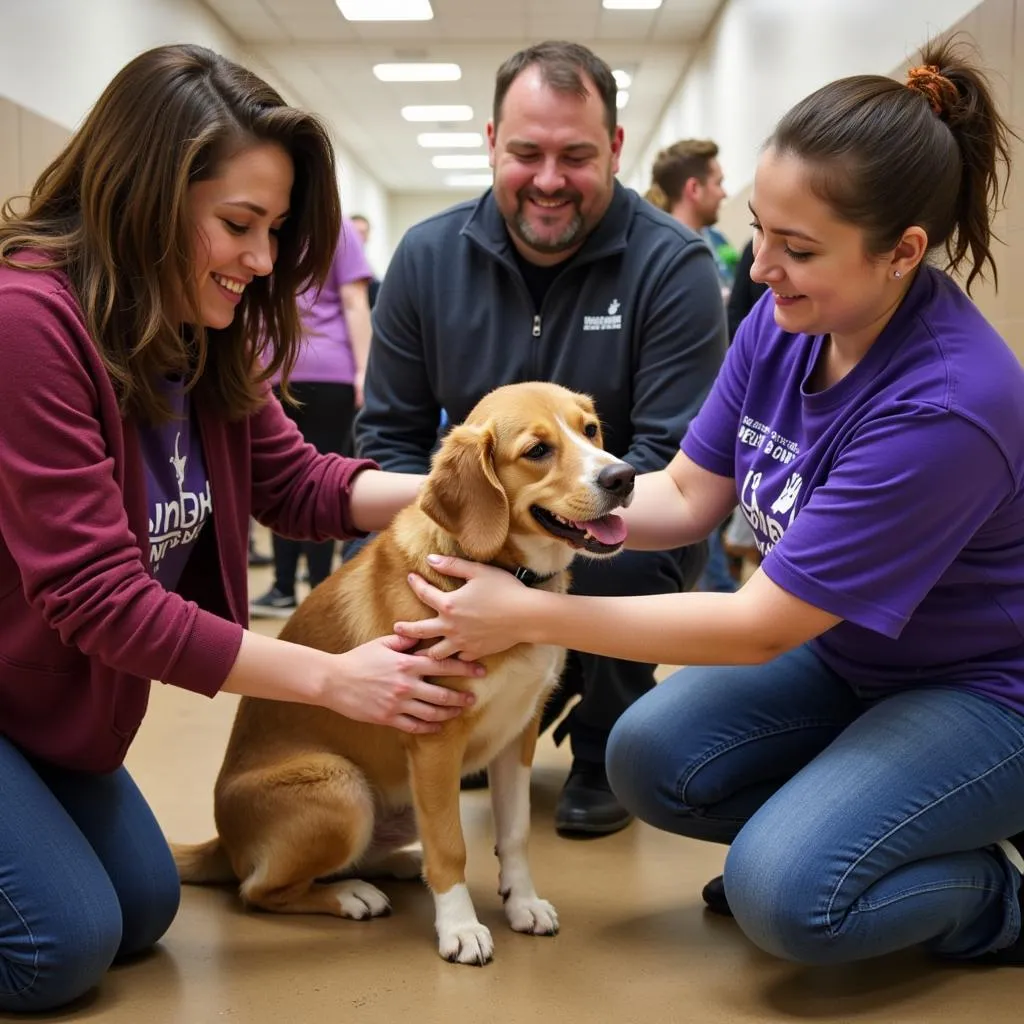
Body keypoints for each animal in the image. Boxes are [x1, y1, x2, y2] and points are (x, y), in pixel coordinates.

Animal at [176, 382, 634, 966]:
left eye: (590, 430)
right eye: (537, 450)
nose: (623, 477)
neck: (507, 578)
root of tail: (223, 841)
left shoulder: (518, 734)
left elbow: (514, 832)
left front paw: (522, 902)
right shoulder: (435, 739)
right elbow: (451, 846)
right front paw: (459, 926)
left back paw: (395, 865)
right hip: (340, 786)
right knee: (257, 891)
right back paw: (351, 895)